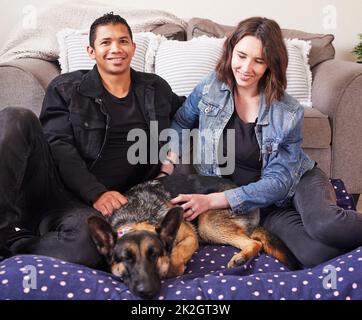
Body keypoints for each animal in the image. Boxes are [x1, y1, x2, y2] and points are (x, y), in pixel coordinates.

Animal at [88, 174, 300, 298]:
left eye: (154, 255)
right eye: (126, 259)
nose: (147, 291)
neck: (138, 218)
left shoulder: (190, 235)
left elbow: (177, 254)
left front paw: (173, 266)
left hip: (207, 225)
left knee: (255, 243)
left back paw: (241, 257)